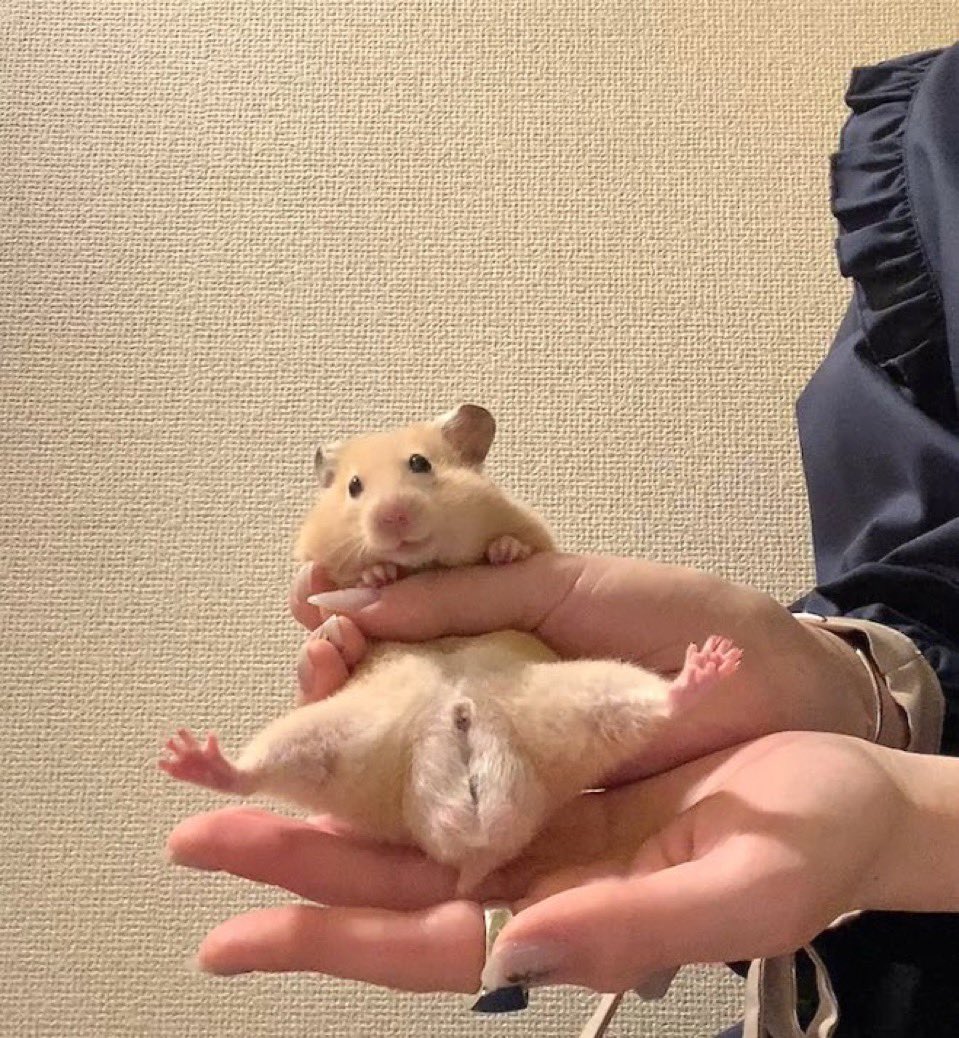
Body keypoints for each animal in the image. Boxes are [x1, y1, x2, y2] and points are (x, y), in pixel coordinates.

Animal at [161, 405, 742, 894]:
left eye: (420, 464)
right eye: (354, 487)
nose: (393, 517)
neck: (428, 564)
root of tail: (474, 848)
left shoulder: (536, 535)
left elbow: (519, 546)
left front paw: (504, 553)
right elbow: (340, 591)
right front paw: (371, 581)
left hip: (588, 692)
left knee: (661, 703)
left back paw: (713, 663)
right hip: (327, 738)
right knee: (253, 773)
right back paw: (186, 755)